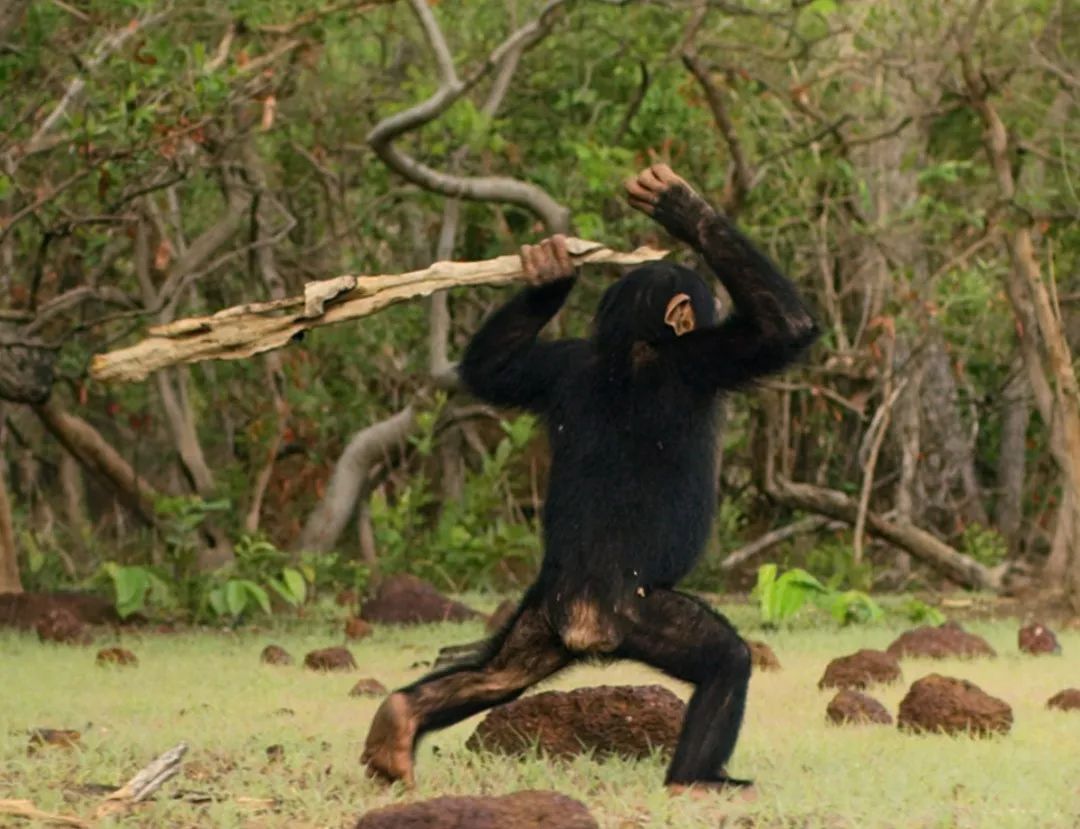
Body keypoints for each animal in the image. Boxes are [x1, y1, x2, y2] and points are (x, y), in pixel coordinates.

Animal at [362, 161, 816, 790]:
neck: (631, 347)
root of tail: (579, 617)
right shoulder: (702, 358)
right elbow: (784, 328)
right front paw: (683, 208)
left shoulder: (557, 364)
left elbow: (489, 369)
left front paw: (550, 274)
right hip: (635, 614)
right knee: (726, 661)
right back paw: (698, 779)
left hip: (540, 617)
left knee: (501, 673)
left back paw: (399, 721)